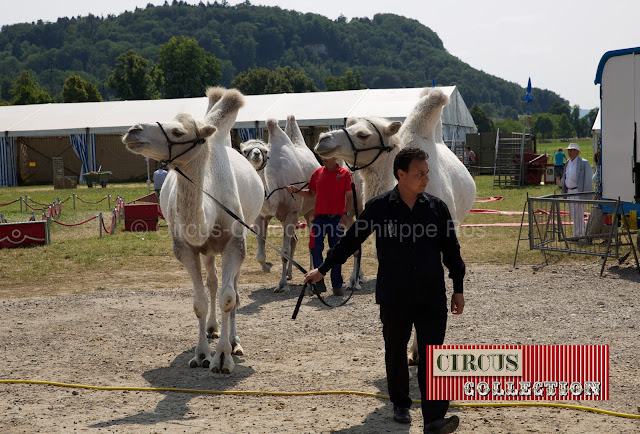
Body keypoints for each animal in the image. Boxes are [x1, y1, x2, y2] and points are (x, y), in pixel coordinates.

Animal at [122, 87, 262, 372]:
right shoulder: (186, 248)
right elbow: (200, 302)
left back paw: (234, 341)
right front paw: (201, 354)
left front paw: (223, 357)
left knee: (234, 288)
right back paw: (212, 328)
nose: (133, 131)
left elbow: (228, 298)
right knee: (213, 281)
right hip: (207, 251)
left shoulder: (235, 244)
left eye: (177, 132)